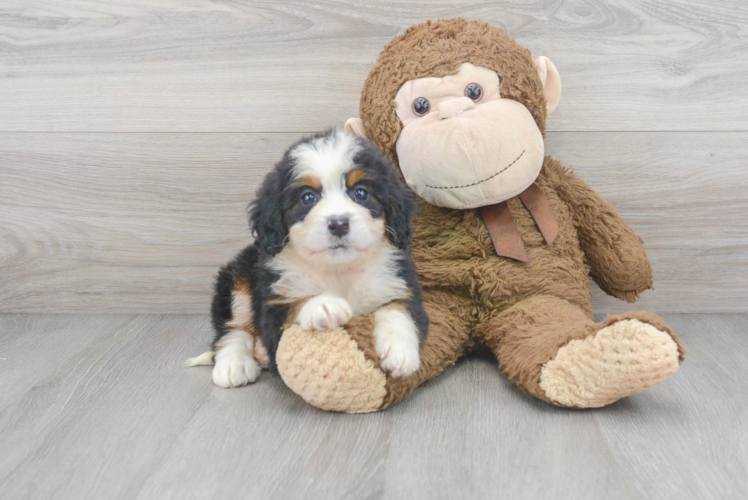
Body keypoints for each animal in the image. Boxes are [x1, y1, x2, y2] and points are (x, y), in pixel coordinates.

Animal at [190, 129, 430, 386]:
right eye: (308, 197)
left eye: (361, 193)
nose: (338, 224)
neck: (339, 270)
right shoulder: (273, 304)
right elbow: (297, 303)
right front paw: (323, 305)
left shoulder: (400, 283)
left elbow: (398, 309)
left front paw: (400, 350)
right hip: (237, 277)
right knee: (233, 328)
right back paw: (234, 364)